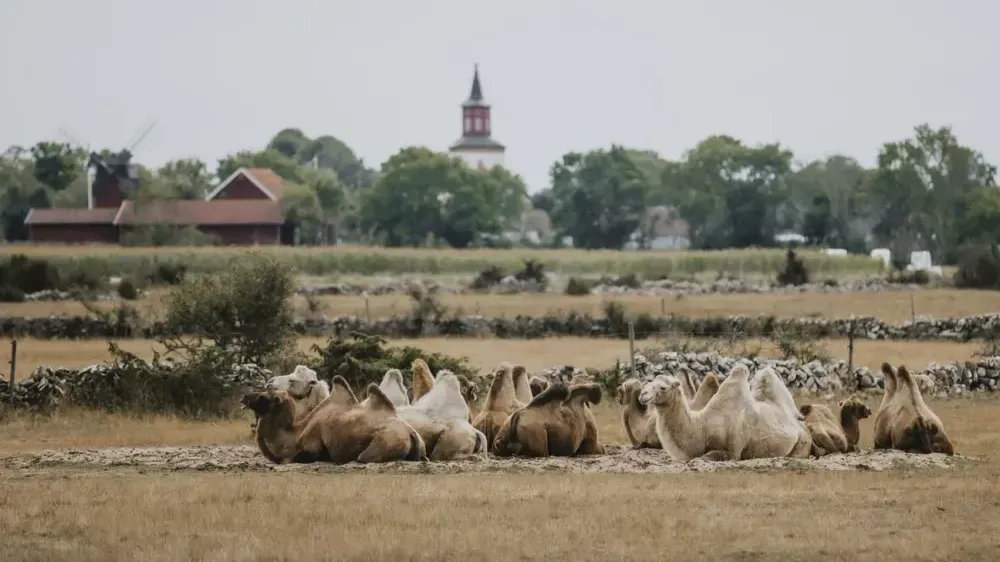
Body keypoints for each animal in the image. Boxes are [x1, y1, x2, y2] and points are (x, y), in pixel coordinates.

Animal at [242, 377, 427, 464]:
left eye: (262, 397)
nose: (244, 397)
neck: (294, 436)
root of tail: (411, 434)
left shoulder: (312, 446)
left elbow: (296, 458)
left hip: (386, 441)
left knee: (362, 457)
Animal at [638, 364, 812, 462]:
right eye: (649, 382)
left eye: (663, 388)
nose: (642, 394)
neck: (702, 428)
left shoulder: (733, 451)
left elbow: (705, 457)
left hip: (803, 442)